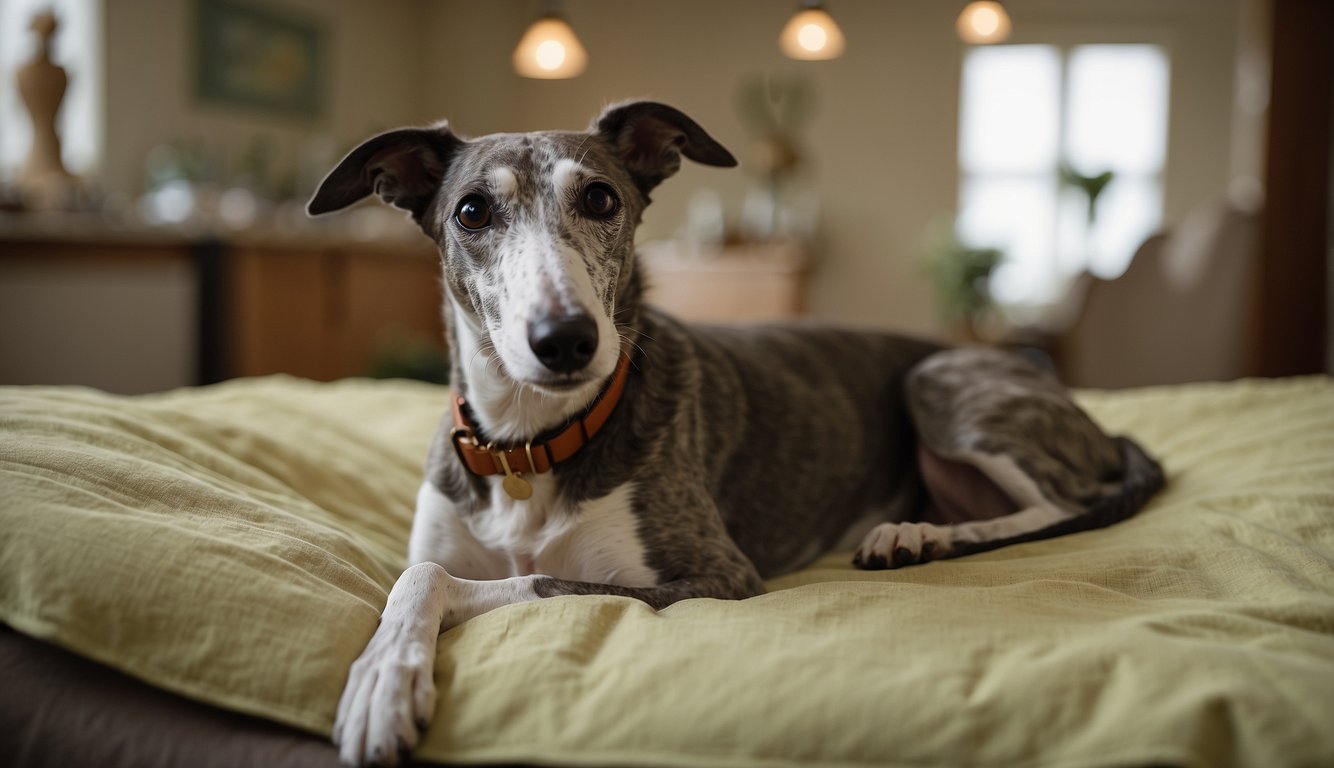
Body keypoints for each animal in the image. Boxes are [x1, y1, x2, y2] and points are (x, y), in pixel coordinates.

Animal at [306, 103, 1163, 768]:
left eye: (600, 198)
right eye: (471, 212)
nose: (566, 341)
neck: (532, 441)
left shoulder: (714, 577)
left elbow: (513, 582)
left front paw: (381, 686)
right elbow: (418, 574)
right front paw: (386, 672)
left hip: (940, 381)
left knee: (1062, 505)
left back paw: (926, 535)